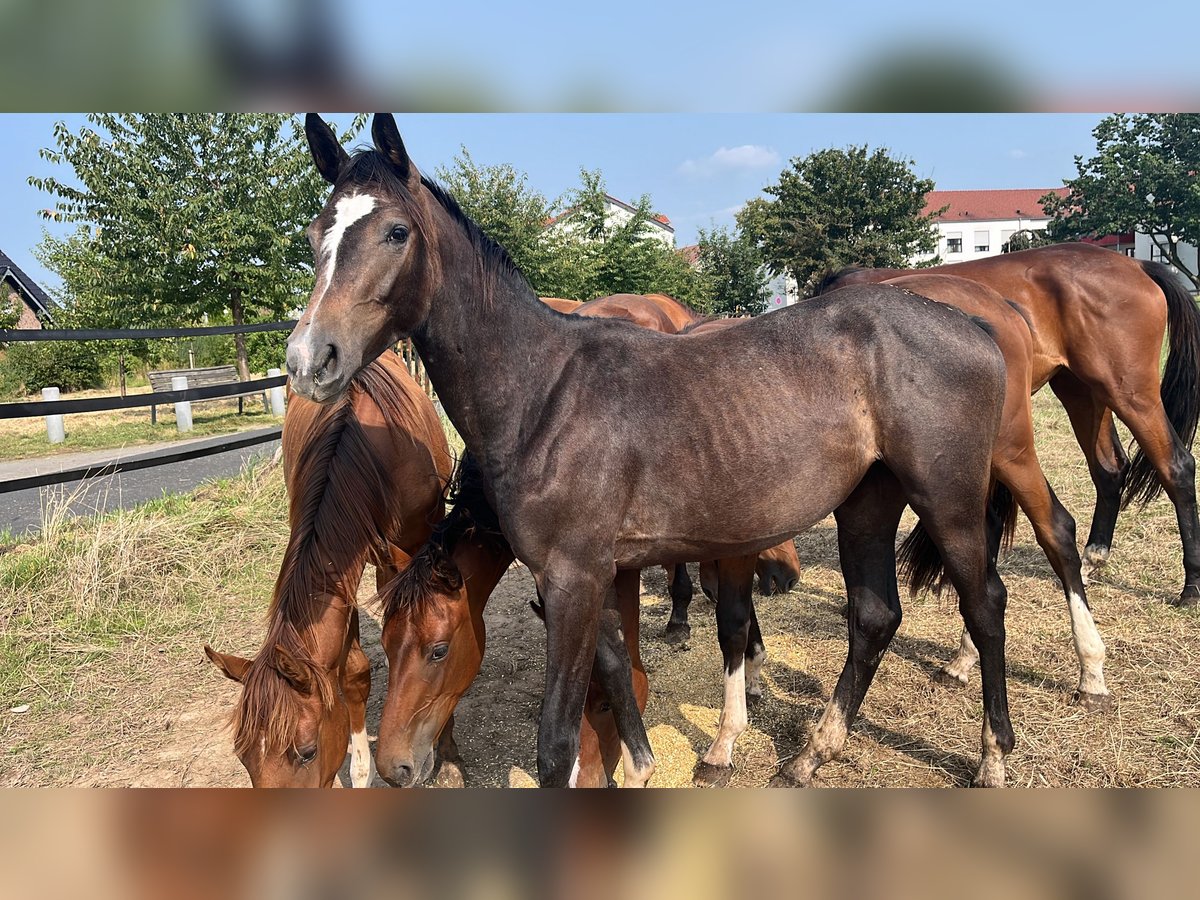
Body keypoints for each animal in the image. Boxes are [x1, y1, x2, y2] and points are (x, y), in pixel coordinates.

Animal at [290, 114, 1012, 787]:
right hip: (867, 501)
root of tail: (973, 325)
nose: (308, 359)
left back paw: (993, 756)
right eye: (316, 235)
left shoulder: (572, 577)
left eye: (396, 232)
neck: (540, 393)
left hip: (946, 500)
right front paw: (639, 768)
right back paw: (812, 755)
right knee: (874, 617)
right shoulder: (597, 573)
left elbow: (557, 741)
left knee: (984, 607)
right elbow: (615, 670)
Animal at [820, 244, 1200, 607]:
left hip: (1130, 393)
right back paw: (1093, 559)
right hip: (1082, 390)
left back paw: (1191, 586)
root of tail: (1136, 264)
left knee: (1176, 467)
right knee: (1109, 469)